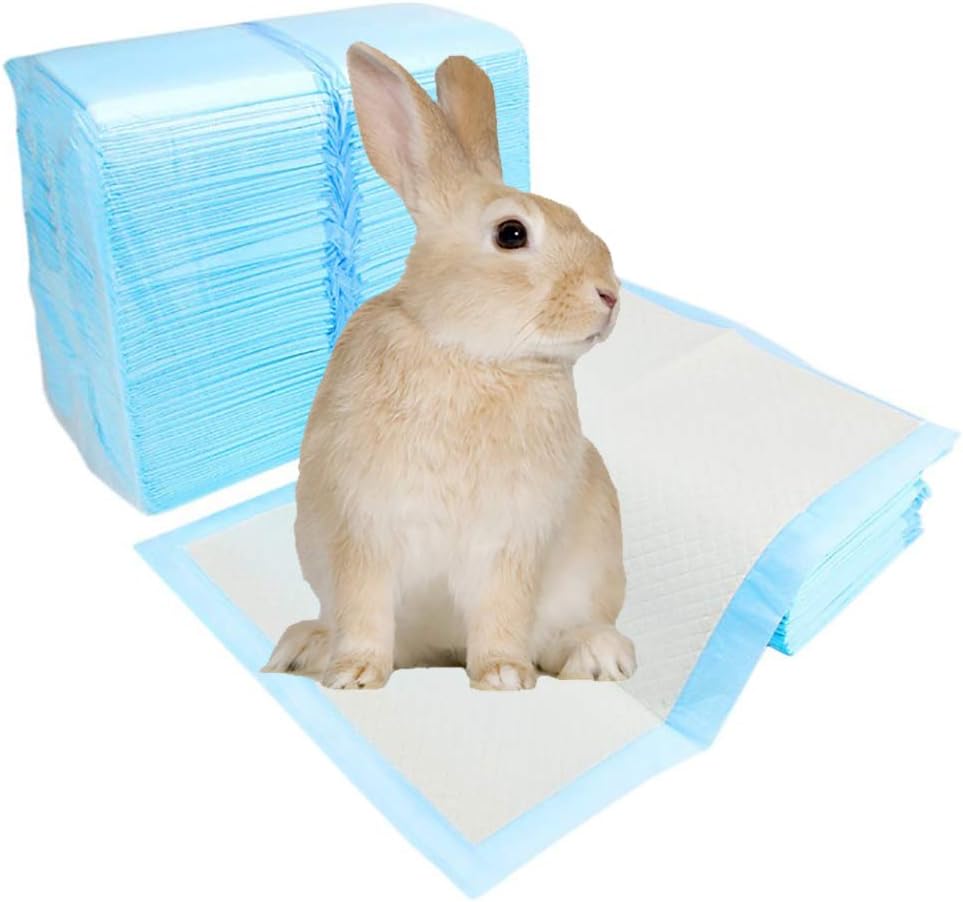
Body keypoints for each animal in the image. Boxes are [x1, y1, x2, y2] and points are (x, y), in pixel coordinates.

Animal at [263, 43, 635, 690]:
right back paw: (307, 648)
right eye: (511, 234)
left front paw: (504, 677)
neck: (467, 352)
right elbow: (364, 608)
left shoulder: (511, 542)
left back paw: (598, 656)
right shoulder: (363, 530)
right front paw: (353, 676)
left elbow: (503, 611)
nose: (609, 295)